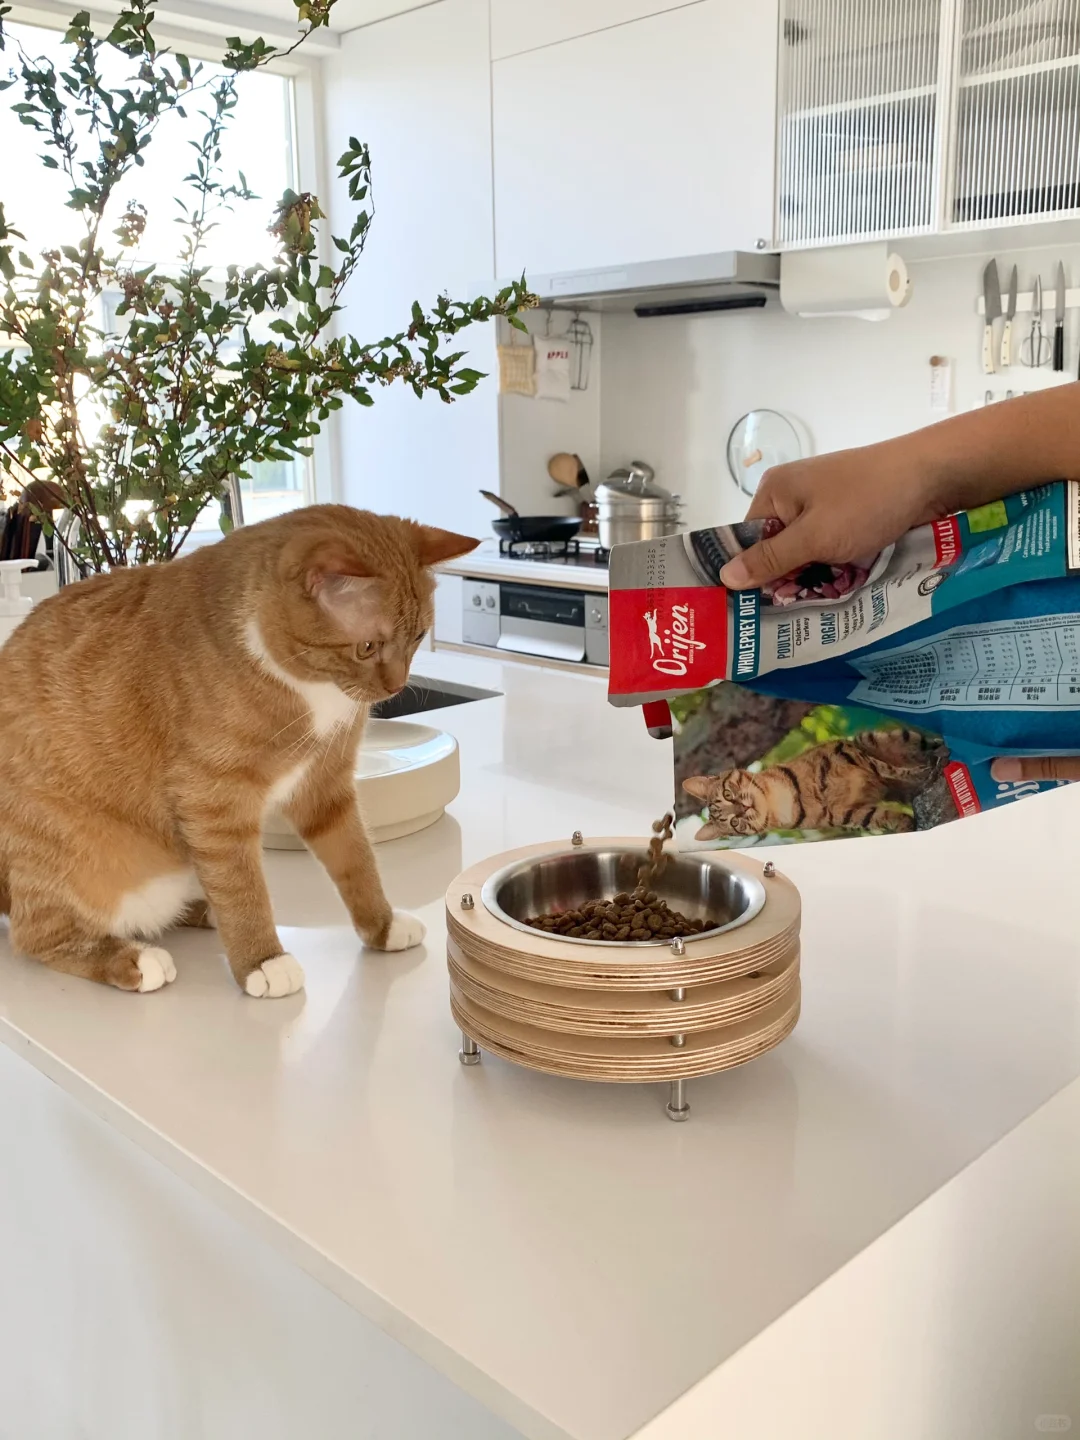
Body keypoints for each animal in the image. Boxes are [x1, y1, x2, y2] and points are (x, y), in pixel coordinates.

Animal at [0, 505, 477, 997]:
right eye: (367, 646)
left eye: (418, 638)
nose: (397, 687)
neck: (308, 688)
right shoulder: (212, 801)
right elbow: (241, 886)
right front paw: (262, 959)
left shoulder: (327, 787)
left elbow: (357, 862)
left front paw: (381, 926)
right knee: (38, 936)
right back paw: (134, 958)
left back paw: (200, 909)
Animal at [682, 727, 945, 841]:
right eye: (734, 823)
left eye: (728, 794)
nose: (743, 809)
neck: (782, 800)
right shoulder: (845, 813)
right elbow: (878, 816)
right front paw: (904, 825)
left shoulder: (852, 755)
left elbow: (889, 770)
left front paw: (921, 773)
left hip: (871, 739)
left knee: (927, 745)